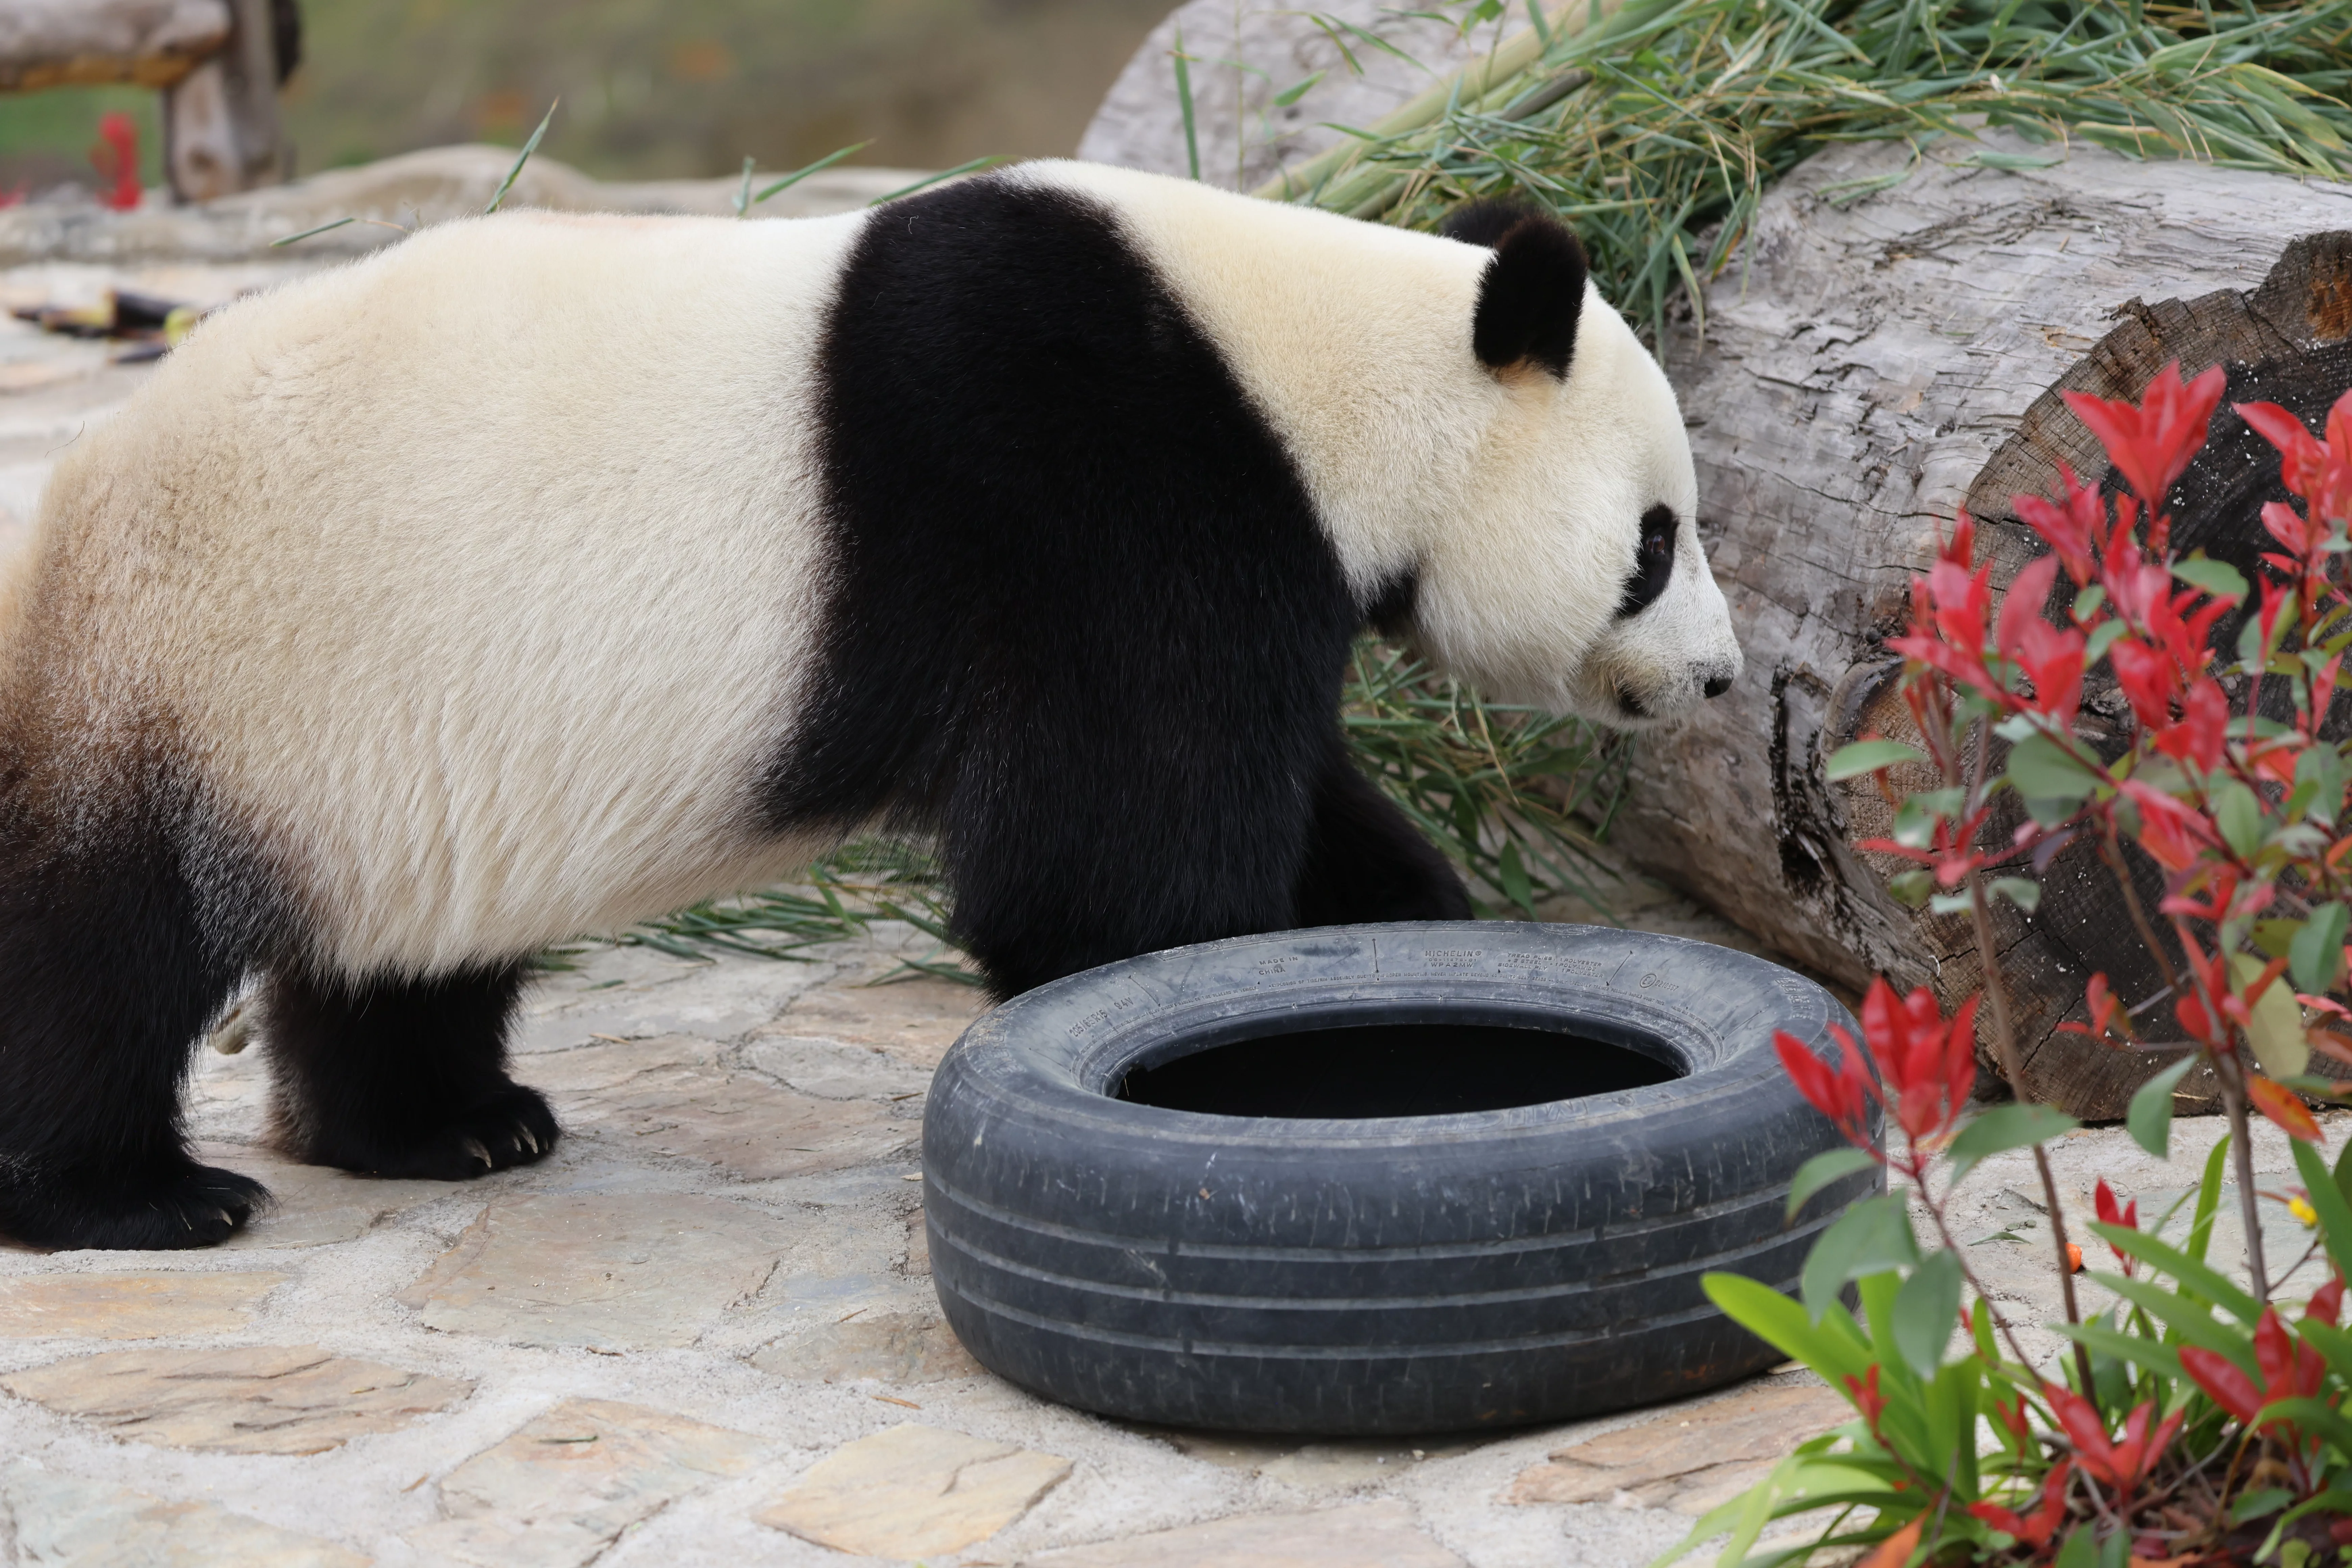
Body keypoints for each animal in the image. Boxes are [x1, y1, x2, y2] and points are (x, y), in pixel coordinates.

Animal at [0, 161, 1741, 1251]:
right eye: (1657, 539)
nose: (1721, 677)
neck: (1319, 371)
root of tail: (64, 509)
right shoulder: (1101, 479)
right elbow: (1103, 860)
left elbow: (1290, 794)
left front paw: (1402, 932)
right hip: (196, 672)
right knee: (93, 953)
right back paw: (130, 1197)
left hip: (375, 751)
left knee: (399, 953)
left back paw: (447, 1125)